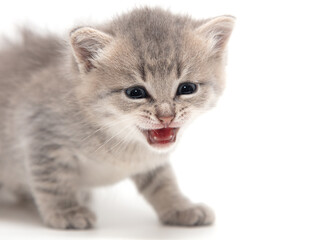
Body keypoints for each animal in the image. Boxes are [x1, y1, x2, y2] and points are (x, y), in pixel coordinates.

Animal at [0, 7, 234, 229]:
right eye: (135, 92)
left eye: (187, 88)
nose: (166, 116)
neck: (119, 144)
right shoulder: (42, 135)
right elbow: (52, 181)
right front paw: (67, 211)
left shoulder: (150, 161)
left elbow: (163, 181)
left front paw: (180, 207)